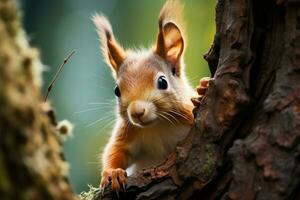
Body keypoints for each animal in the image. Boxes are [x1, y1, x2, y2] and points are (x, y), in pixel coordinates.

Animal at [92, 0, 210, 194]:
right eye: (117, 90)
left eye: (162, 81)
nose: (137, 112)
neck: (157, 125)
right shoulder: (128, 131)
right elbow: (115, 151)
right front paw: (112, 173)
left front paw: (202, 90)